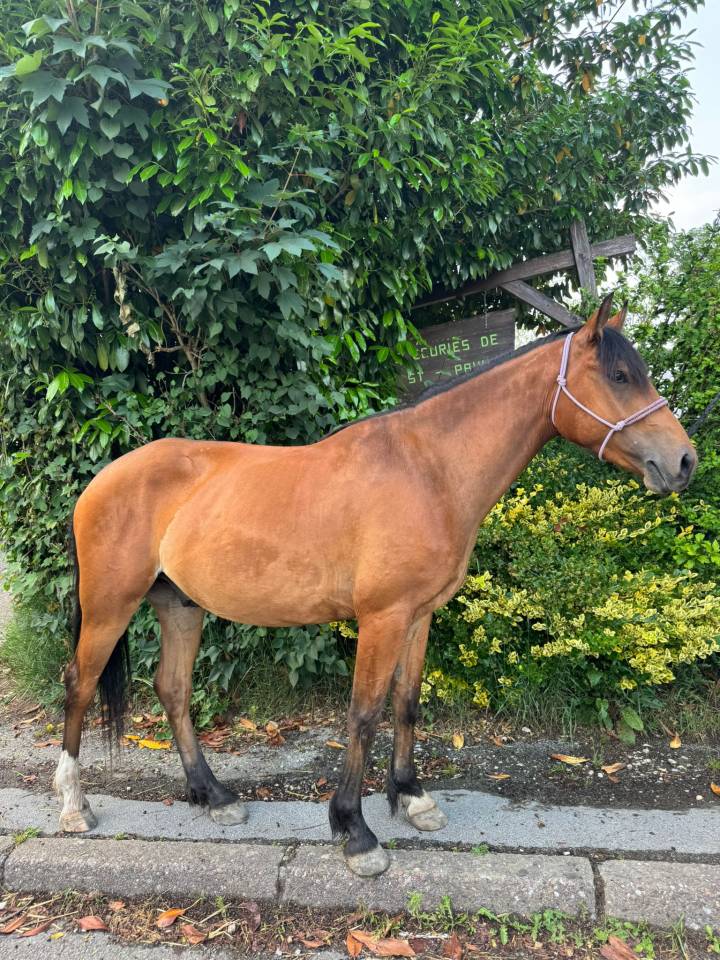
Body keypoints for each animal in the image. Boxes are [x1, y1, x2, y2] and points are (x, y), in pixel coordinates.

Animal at [54, 293, 696, 877]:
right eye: (619, 376)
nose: (684, 462)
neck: (430, 469)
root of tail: (99, 482)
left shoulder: (419, 613)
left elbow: (407, 703)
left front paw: (412, 797)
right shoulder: (382, 617)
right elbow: (363, 714)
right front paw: (355, 833)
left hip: (180, 605)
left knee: (173, 691)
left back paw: (214, 798)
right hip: (110, 606)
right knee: (80, 685)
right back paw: (74, 806)